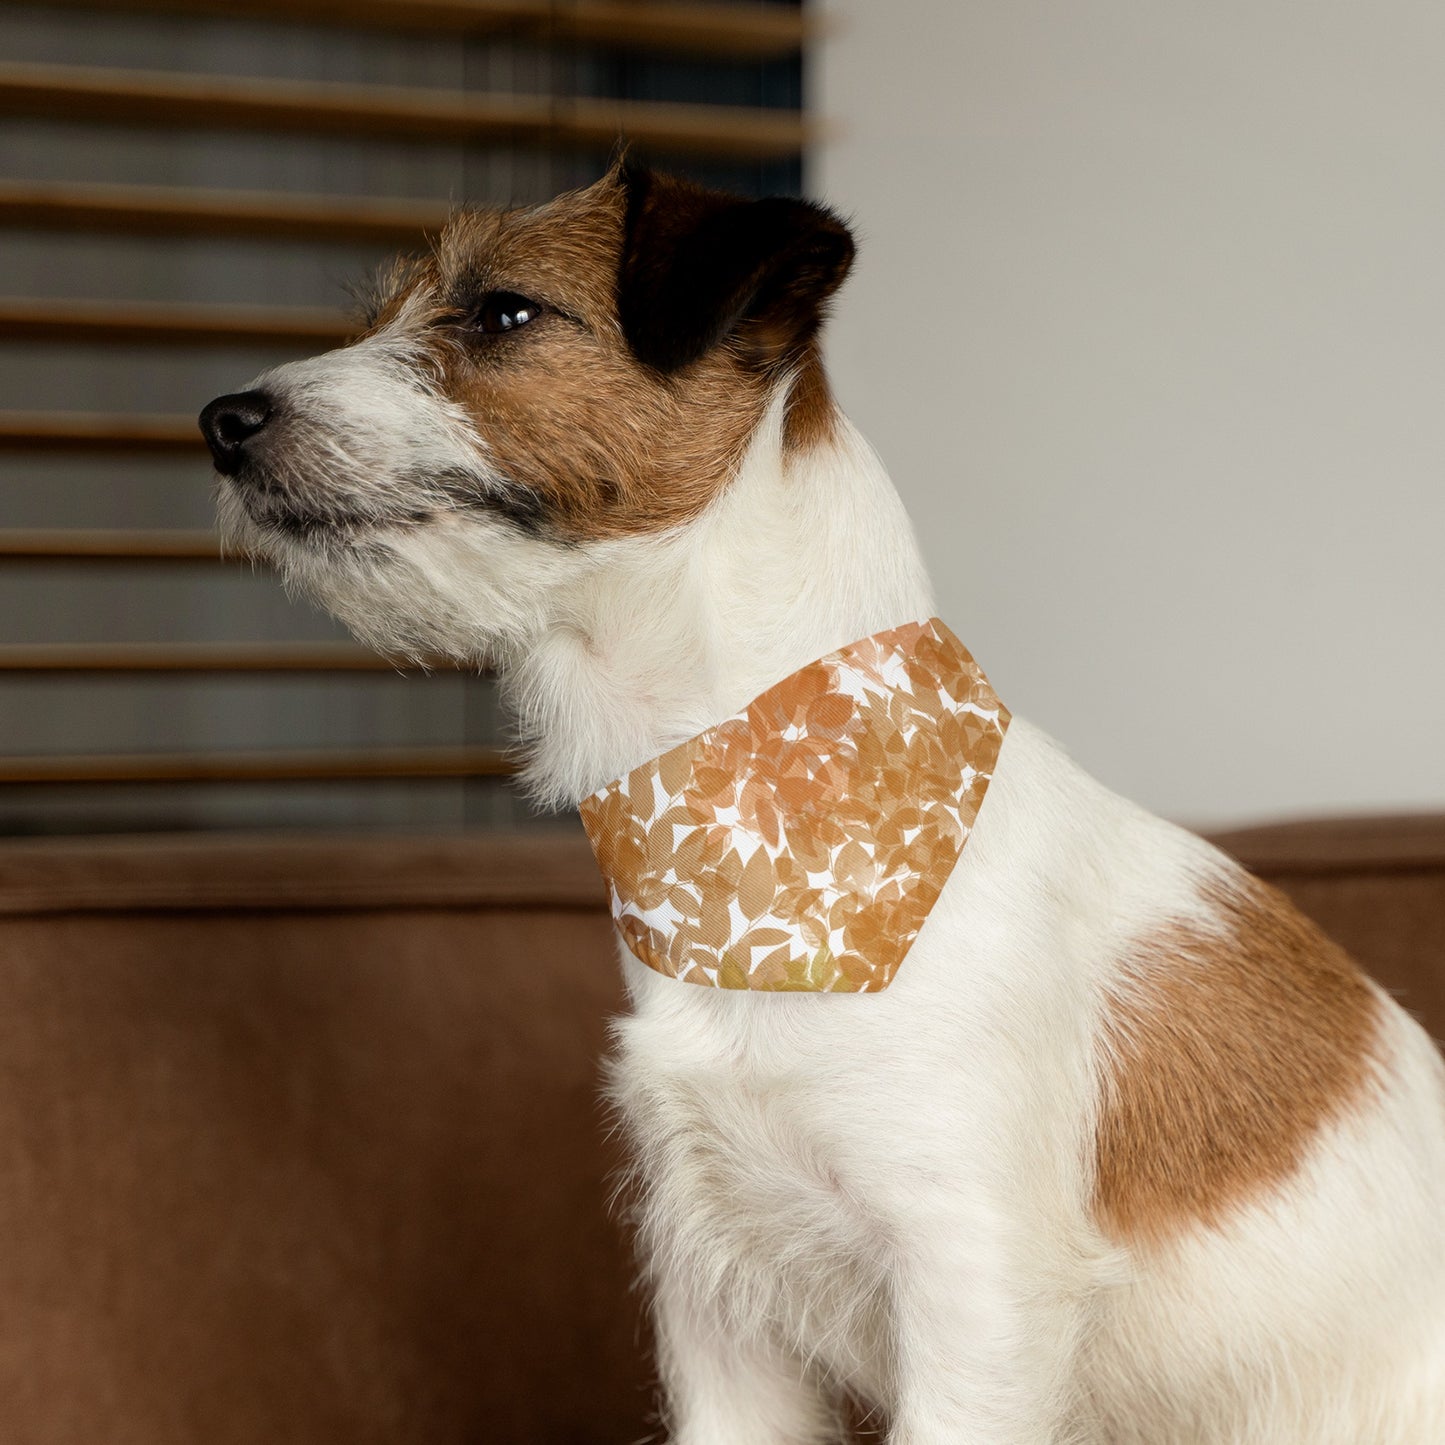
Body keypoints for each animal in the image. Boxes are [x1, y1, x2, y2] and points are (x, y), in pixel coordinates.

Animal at [200, 164, 1445, 1445]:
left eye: (502, 312)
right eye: (382, 314)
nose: (221, 421)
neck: (743, 816)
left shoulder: (973, 1291)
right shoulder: (716, 1303)